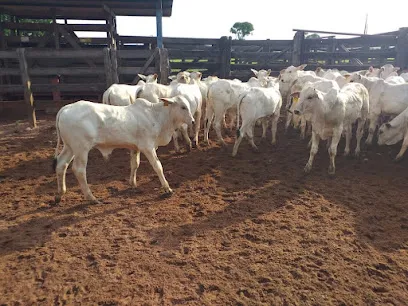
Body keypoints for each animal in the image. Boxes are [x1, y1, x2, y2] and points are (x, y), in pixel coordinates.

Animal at [53, 97, 195, 204]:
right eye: (183, 107)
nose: (193, 121)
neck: (155, 116)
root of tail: (66, 108)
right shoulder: (147, 147)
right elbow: (157, 166)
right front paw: (167, 188)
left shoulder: (135, 148)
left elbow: (135, 164)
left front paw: (132, 183)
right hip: (81, 149)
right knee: (79, 170)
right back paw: (91, 198)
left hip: (70, 147)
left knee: (61, 165)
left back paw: (60, 194)